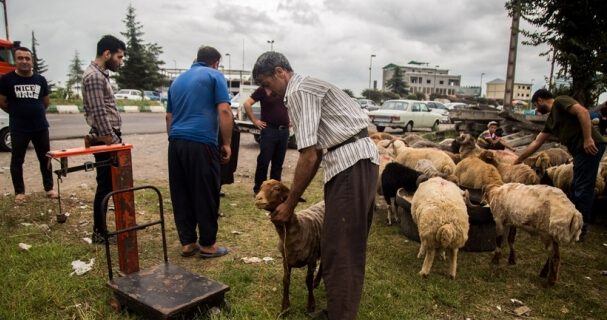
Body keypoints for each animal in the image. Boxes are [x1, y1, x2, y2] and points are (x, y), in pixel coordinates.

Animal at [254, 179, 326, 314]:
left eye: (277, 189)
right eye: (260, 187)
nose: (258, 198)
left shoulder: (312, 259)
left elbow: (308, 281)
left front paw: (311, 305)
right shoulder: (286, 260)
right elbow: (286, 280)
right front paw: (285, 308)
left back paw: (316, 282)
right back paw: (317, 282)